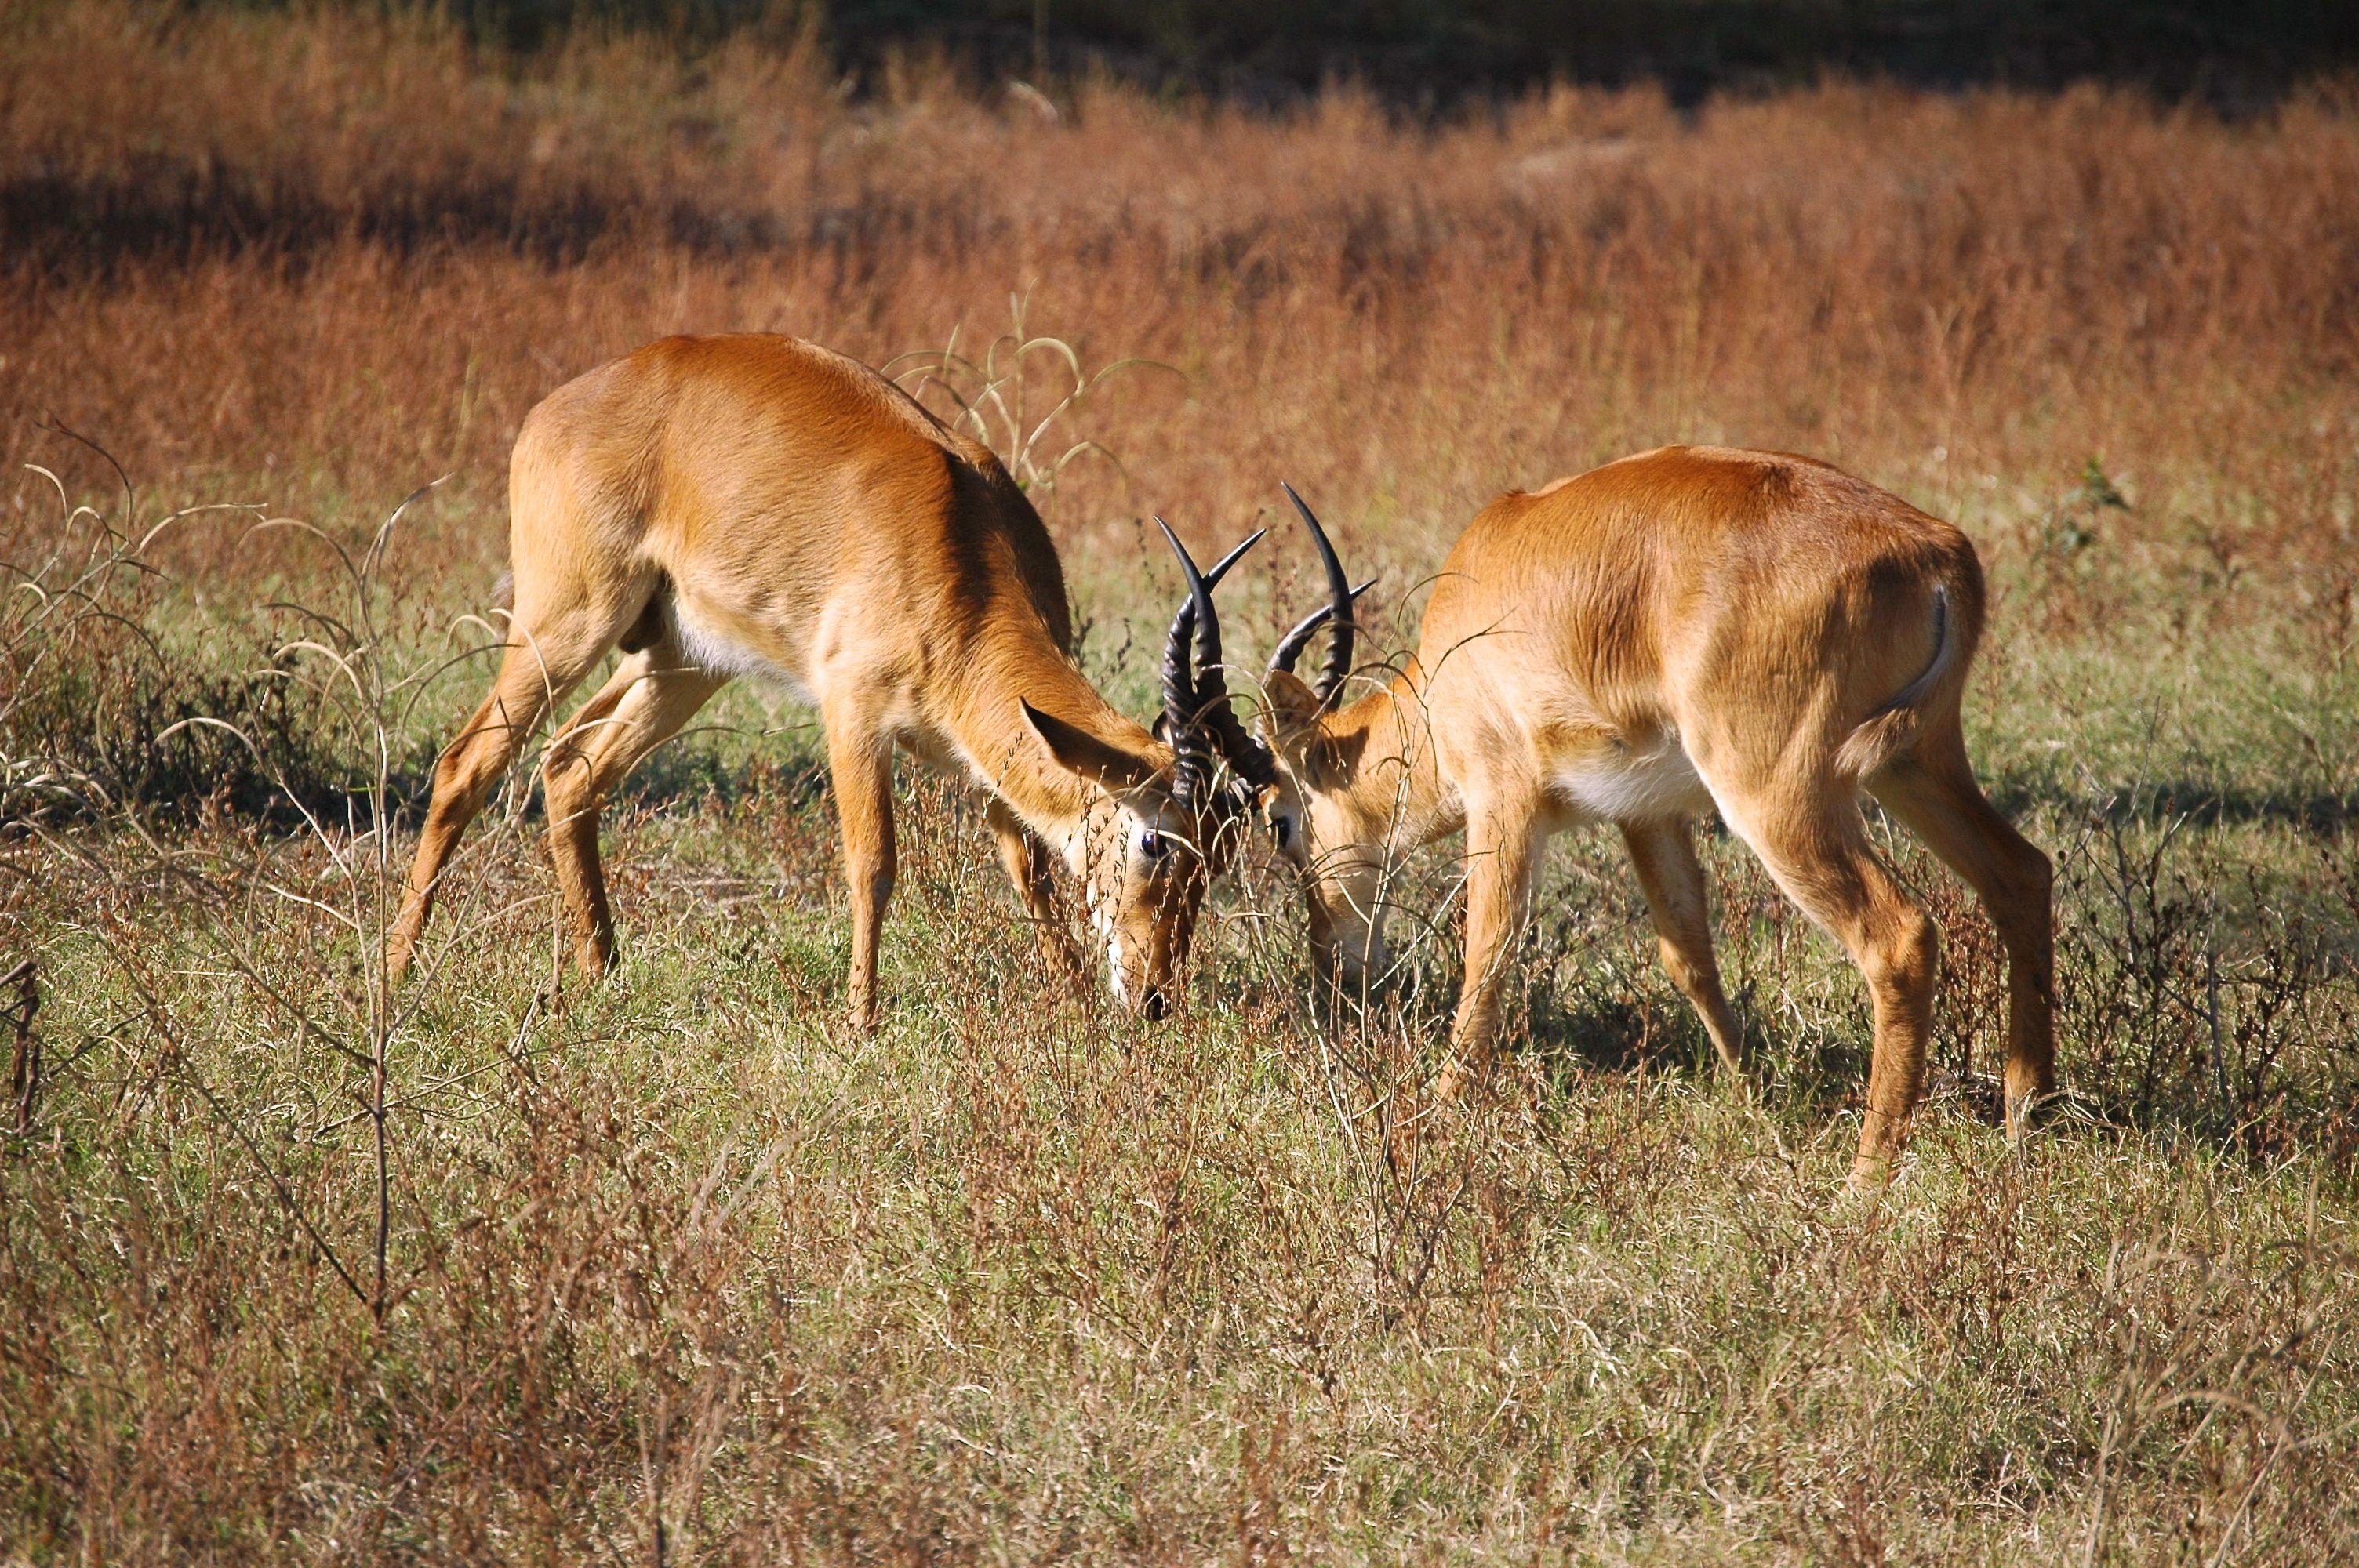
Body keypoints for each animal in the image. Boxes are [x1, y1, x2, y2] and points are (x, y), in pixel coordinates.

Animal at [382, 335, 1274, 1023]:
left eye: (1223, 852)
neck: (960, 555)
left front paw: (1077, 1000)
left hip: (681, 659)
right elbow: (871, 867)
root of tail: (553, 408)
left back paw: (603, 972)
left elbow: (1030, 870)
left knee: (571, 764)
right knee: (468, 761)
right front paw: (860, 1021)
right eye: (1156, 840)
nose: (1156, 997)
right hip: (567, 621)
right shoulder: (853, 715)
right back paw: (394, 975)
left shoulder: (976, 748)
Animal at [1198, 452, 2047, 1188]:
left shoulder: (1502, 802)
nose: (1330, 971)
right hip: (1914, 764)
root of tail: (1934, 553)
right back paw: (2022, 1120)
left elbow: (1488, 952)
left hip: (1778, 798)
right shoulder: (1650, 813)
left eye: (1278, 819)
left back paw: (1862, 1186)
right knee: (2021, 872)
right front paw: (1759, 1103)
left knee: (1899, 936)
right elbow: (1687, 953)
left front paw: (1433, 1119)